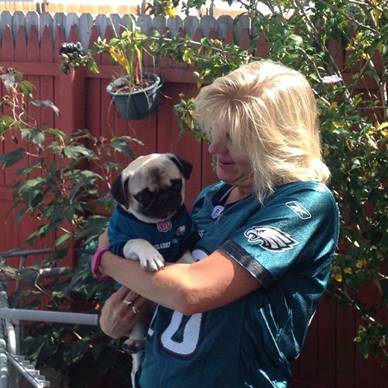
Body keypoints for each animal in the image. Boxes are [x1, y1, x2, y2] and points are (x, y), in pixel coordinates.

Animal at [106, 153, 197, 386]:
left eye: (176, 184)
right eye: (144, 196)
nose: (164, 198)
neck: (159, 225)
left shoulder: (183, 240)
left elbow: (185, 255)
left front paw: (189, 262)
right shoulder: (121, 245)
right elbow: (138, 240)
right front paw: (152, 256)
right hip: (136, 314)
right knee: (138, 335)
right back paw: (135, 343)